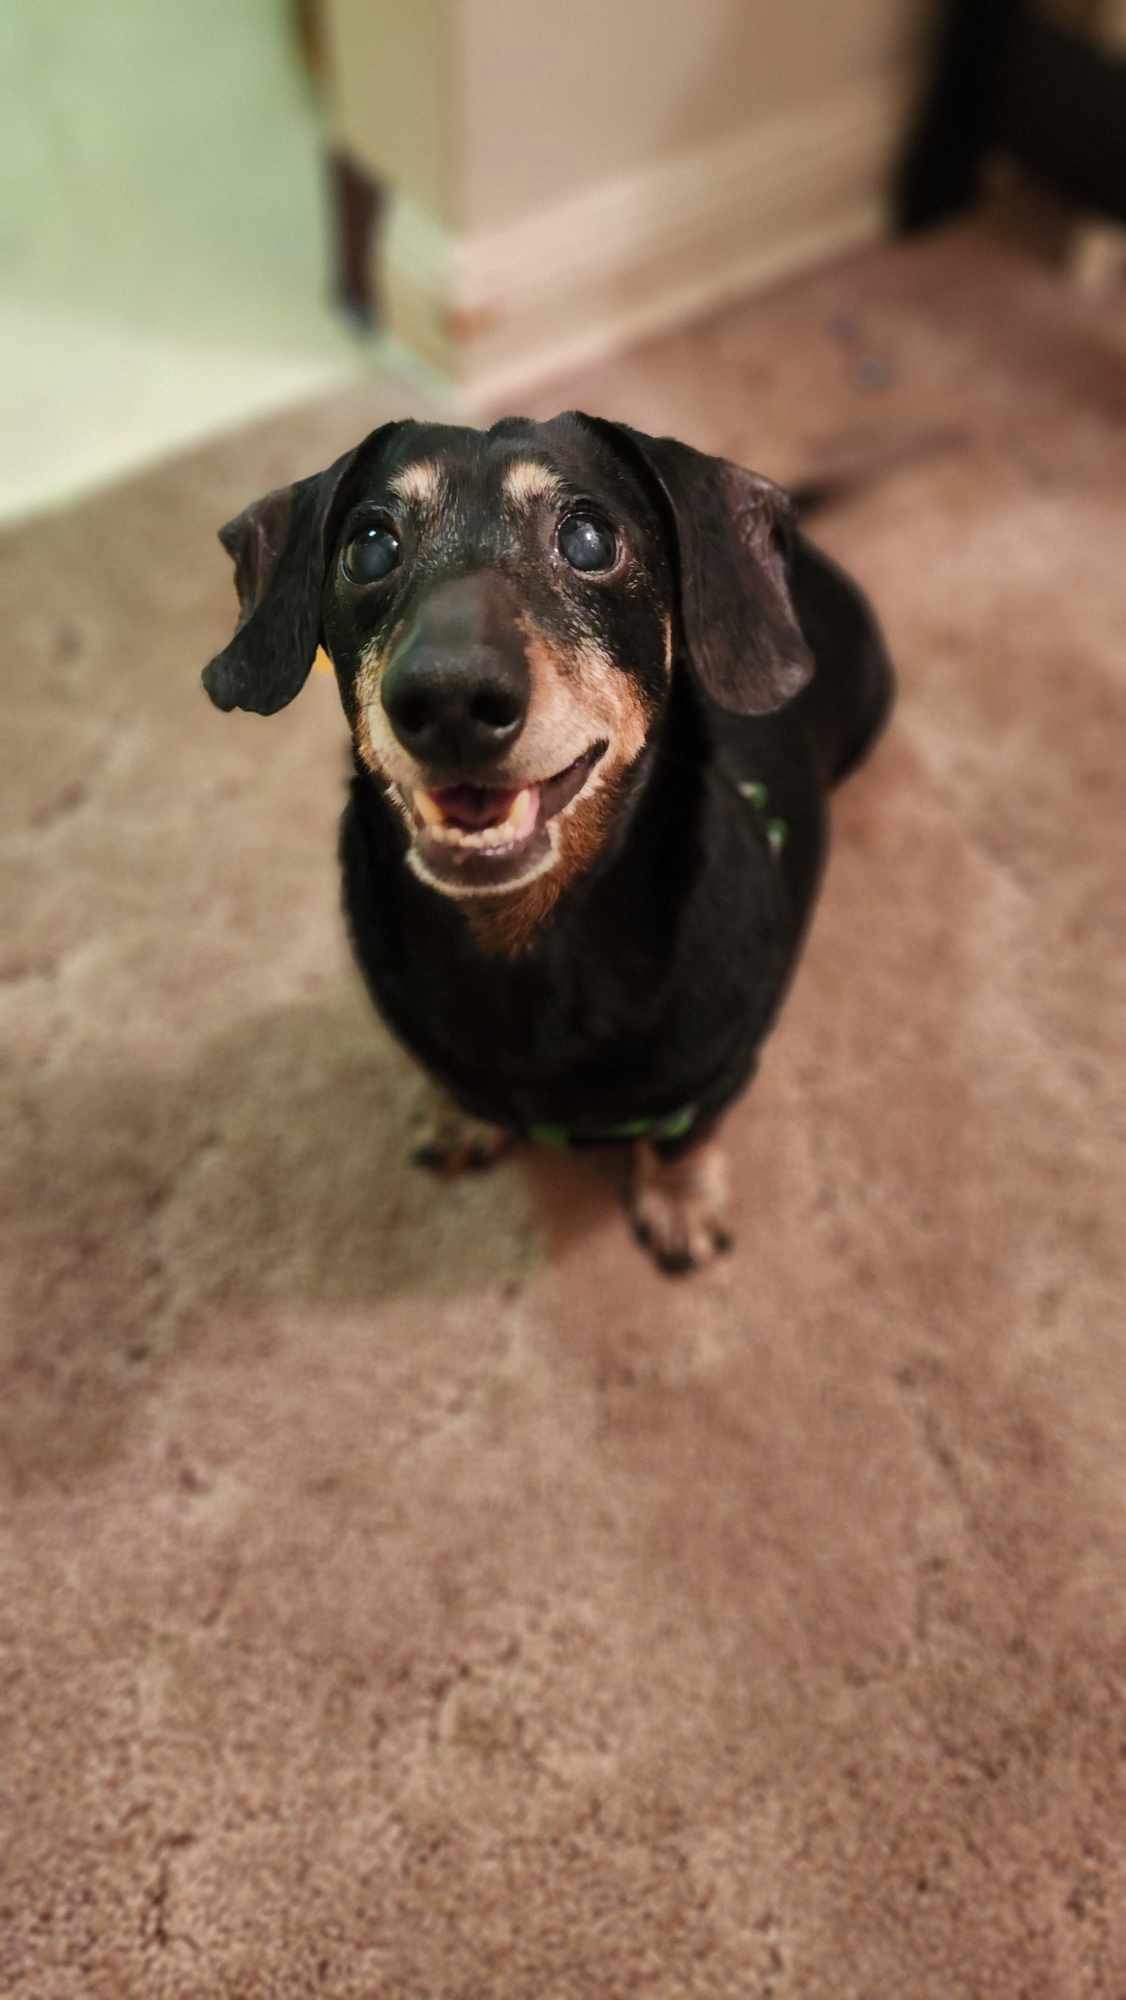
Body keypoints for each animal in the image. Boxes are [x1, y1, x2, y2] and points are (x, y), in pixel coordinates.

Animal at [198, 414, 896, 1272]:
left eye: (590, 540)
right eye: (369, 546)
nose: (449, 699)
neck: (526, 944)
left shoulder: (723, 1070)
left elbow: (684, 1136)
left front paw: (680, 1206)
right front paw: (462, 1120)